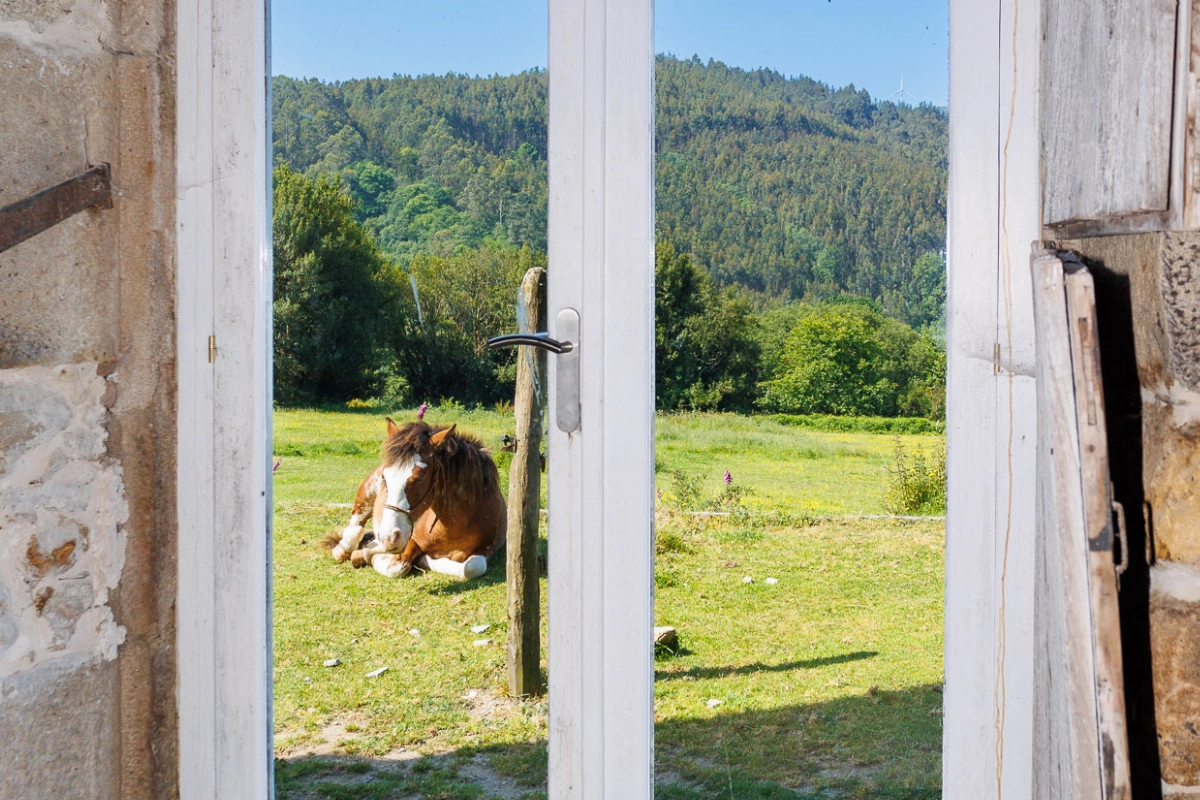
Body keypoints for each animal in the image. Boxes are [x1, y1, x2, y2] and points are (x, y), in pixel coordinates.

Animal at [326, 419, 504, 582]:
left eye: (419, 478)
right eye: (385, 477)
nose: (389, 537)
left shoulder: (486, 549)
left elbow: (473, 567)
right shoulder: (410, 541)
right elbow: (397, 567)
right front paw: (370, 556)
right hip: (366, 497)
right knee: (356, 525)